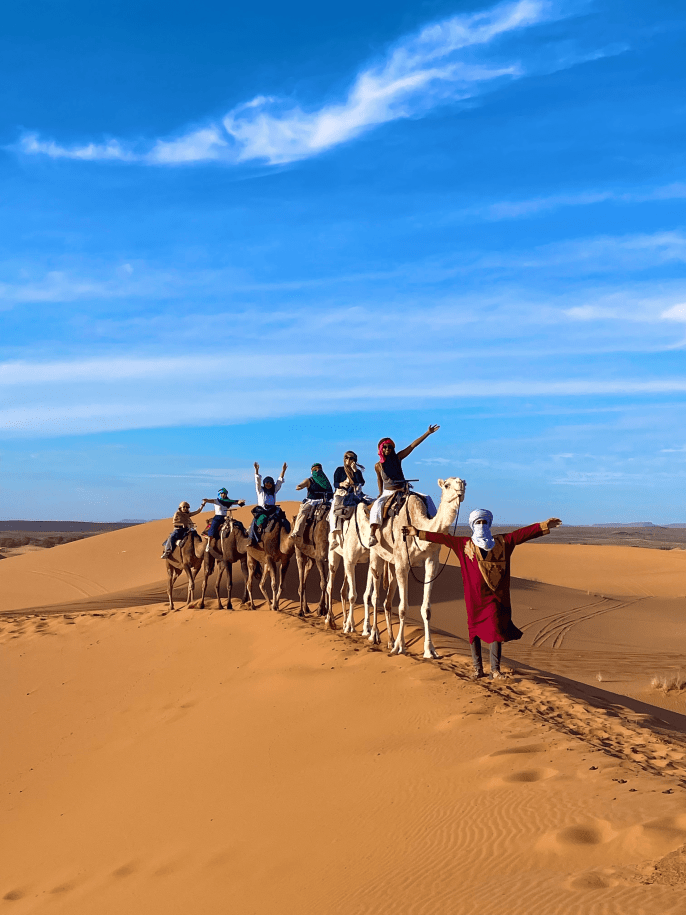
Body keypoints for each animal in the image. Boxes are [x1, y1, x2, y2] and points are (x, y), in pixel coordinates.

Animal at [354, 480, 468, 660]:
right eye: (447, 485)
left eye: (464, 483)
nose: (460, 491)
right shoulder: (403, 562)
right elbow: (403, 608)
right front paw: (400, 647)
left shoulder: (432, 561)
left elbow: (426, 609)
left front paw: (430, 650)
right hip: (376, 554)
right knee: (374, 595)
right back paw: (374, 636)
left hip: (391, 563)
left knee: (387, 601)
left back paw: (389, 641)